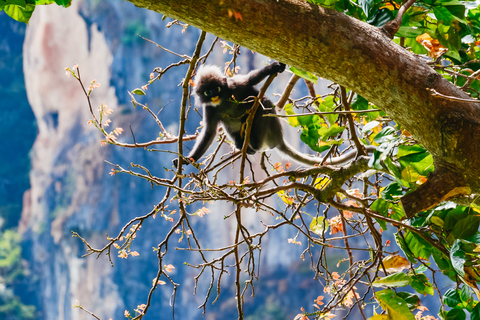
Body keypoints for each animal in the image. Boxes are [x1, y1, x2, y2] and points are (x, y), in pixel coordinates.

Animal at [172, 61, 376, 169]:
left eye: (216, 88)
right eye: (207, 92)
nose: (213, 94)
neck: (222, 100)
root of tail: (278, 140)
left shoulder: (234, 86)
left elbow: (251, 80)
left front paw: (273, 67)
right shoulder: (210, 109)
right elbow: (209, 133)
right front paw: (188, 159)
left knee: (263, 107)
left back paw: (252, 141)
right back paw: (242, 143)